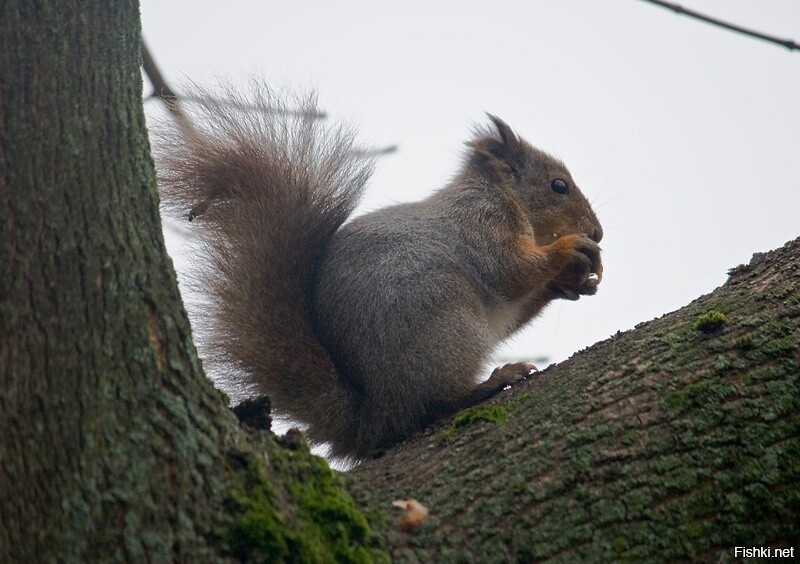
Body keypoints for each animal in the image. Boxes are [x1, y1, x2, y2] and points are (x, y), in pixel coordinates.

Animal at [156, 85, 600, 462]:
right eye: (559, 185)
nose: (597, 232)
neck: (504, 197)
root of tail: (375, 415)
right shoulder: (481, 223)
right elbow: (509, 272)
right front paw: (568, 250)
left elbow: (517, 306)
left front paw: (572, 283)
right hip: (446, 317)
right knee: (435, 403)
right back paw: (488, 383)